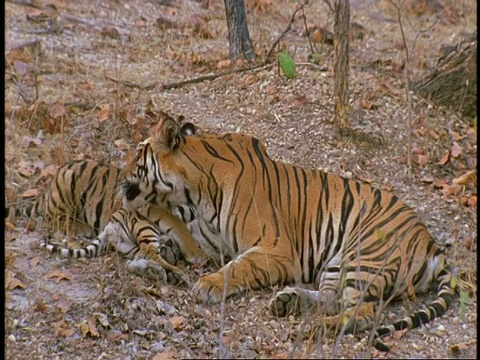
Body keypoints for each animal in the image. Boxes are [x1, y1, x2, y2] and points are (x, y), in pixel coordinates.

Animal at [28, 159, 204, 282]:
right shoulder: (153, 208)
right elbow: (179, 226)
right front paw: (196, 253)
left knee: (142, 253)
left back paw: (160, 271)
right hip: (67, 184)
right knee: (52, 218)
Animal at [122, 118, 456, 352]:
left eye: (137, 153)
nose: (119, 168)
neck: (195, 192)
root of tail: (432, 243)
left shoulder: (276, 248)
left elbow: (240, 267)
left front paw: (209, 284)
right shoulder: (209, 239)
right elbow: (182, 232)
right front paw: (164, 248)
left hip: (365, 256)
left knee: (363, 313)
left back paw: (311, 329)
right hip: (338, 262)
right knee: (332, 298)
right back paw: (288, 302)